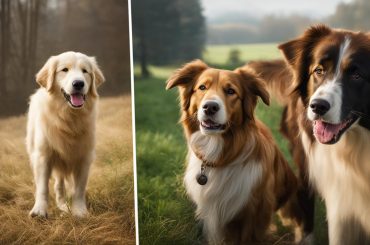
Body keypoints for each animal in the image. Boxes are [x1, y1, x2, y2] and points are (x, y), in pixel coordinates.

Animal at [26, 51, 104, 218]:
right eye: (64, 70)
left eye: (85, 71)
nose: (78, 84)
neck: (68, 117)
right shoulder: (43, 156)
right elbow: (43, 187)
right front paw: (40, 210)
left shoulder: (84, 157)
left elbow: (79, 189)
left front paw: (79, 211)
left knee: (59, 185)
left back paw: (63, 206)